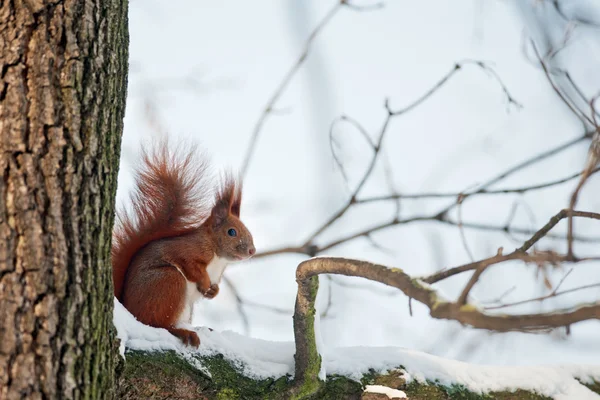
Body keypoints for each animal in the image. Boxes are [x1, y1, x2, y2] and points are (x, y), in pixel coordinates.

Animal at [112, 140, 255, 346]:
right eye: (232, 232)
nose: (252, 251)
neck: (218, 257)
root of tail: (130, 311)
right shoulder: (190, 250)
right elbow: (190, 264)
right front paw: (204, 283)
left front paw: (213, 291)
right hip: (169, 281)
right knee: (157, 324)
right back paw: (183, 332)